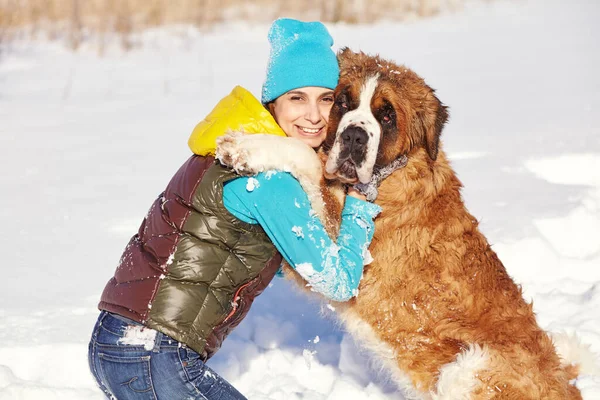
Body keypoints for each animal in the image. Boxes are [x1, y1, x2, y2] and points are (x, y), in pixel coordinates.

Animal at [216, 48, 596, 398]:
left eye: (387, 116)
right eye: (341, 101)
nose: (354, 137)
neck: (391, 171)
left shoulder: (336, 262)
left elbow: (305, 158)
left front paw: (244, 147)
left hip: (469, 367)